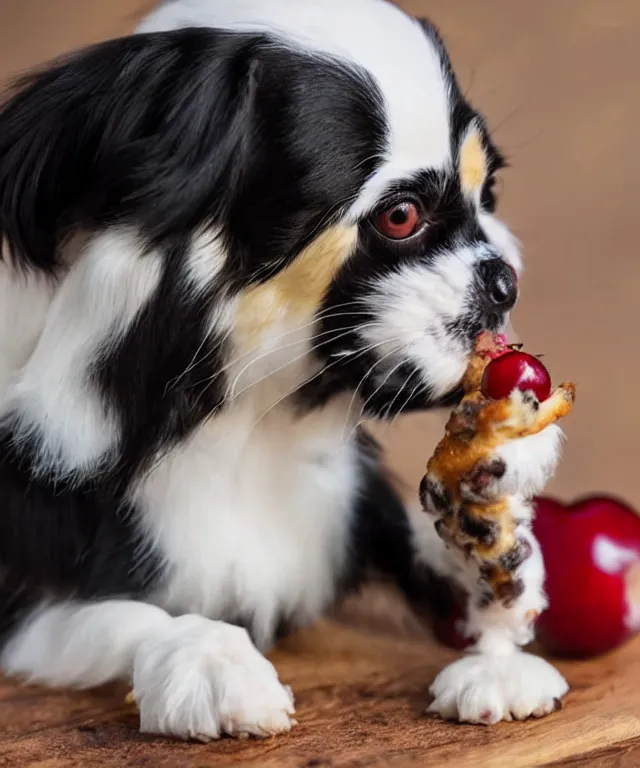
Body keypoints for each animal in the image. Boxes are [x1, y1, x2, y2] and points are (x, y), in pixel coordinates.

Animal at [0, 0, 568, 740]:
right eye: (401, 216)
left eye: (488, 194)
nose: (505, 281)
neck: (244, 426)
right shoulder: (24, 598)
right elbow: (135, 615)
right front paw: (209, 660)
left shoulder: (357, 508)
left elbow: (435, 547)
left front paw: (501, 600)